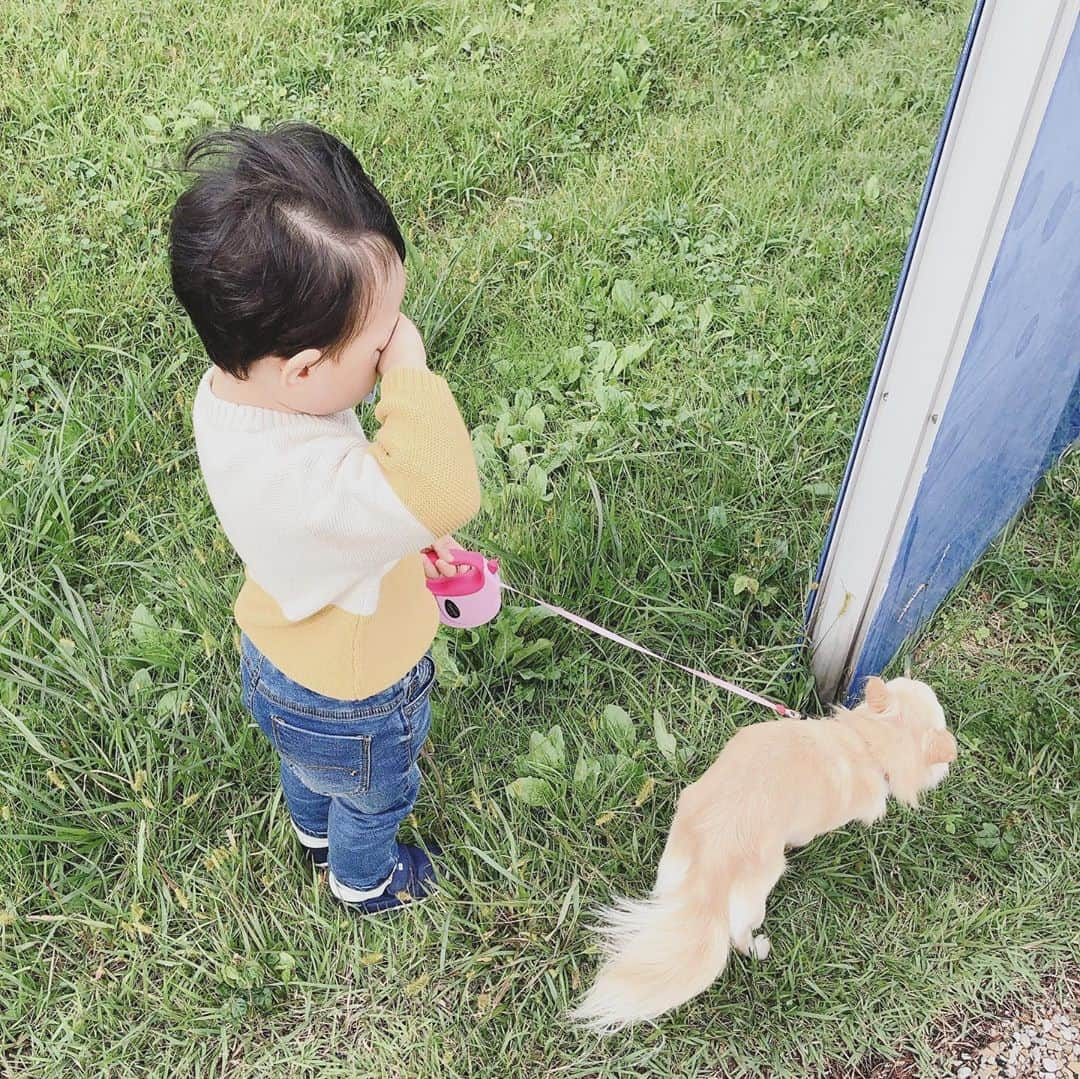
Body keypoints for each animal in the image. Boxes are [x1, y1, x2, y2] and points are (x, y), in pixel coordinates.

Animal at [570, 678, 959, 1032]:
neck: (866, 742)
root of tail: (717, 855)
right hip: (755, 894)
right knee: (739, 935)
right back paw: (757, 948)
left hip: (672, 866)